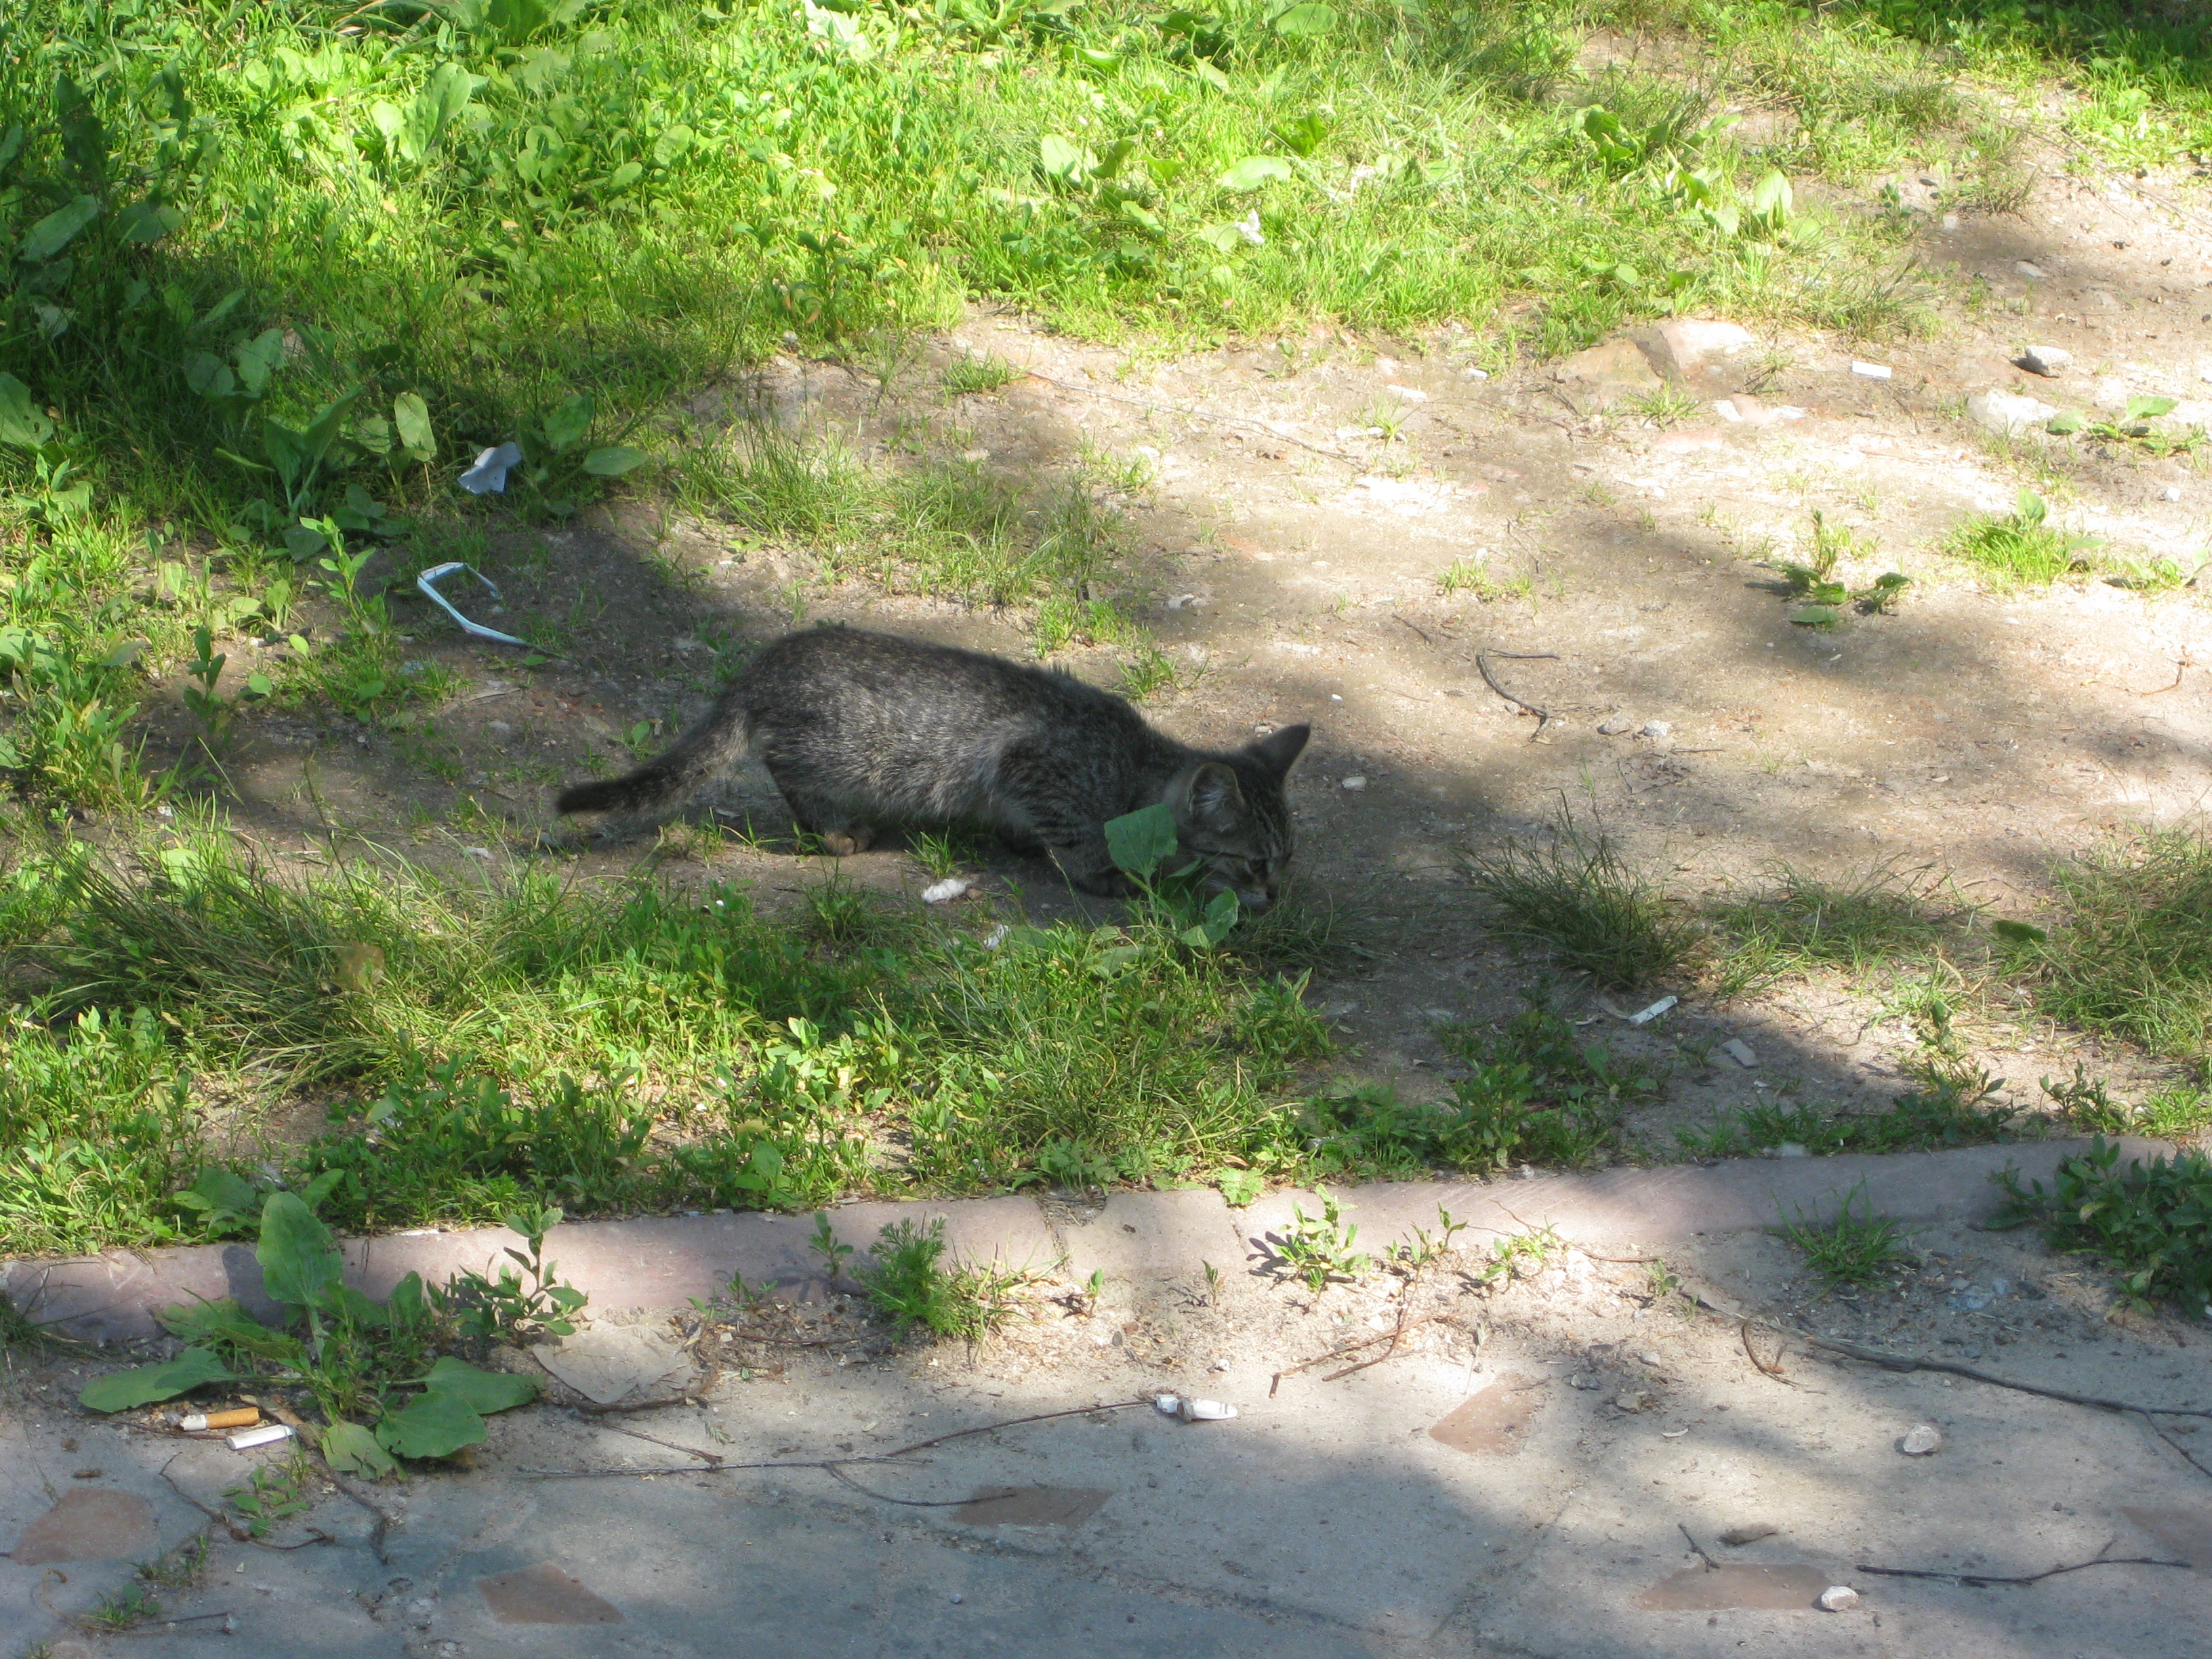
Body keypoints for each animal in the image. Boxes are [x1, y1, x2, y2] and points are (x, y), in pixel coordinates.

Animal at [555, 624, 1310, 906]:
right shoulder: (1032, 764)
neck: (1134, 763)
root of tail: (772, 657)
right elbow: (1077, 838)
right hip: (846, 754)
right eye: (1253, 863)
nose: (1275, 897)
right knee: (786, 768)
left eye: (1285, 860)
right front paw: (1105, 873)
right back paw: (836, 831)